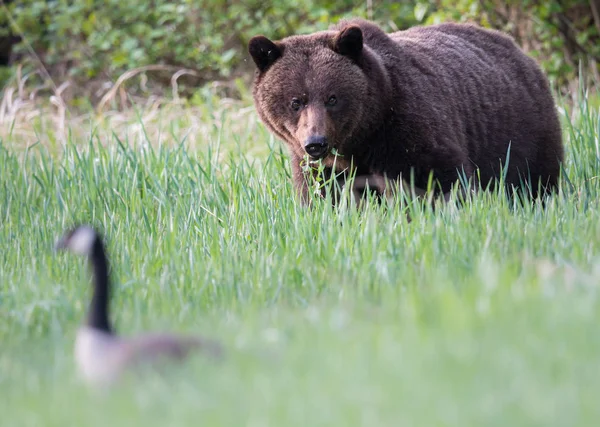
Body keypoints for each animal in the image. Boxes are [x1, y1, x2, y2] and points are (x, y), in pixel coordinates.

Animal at [247, 19, 564, 206]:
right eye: (295, 101)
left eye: (332, 98)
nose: (316, 143)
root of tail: (517, 49)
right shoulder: (319, 167)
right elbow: (323, 197)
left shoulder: (405, 130)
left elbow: (438, 179)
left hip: (521, 132)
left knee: (534, 180)